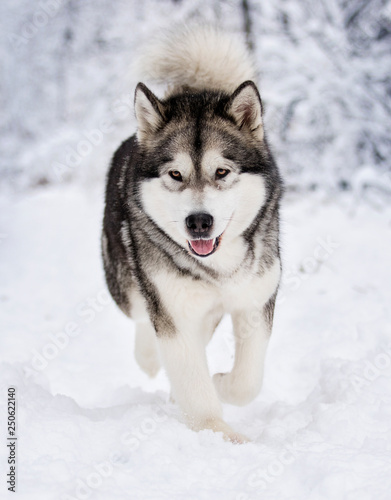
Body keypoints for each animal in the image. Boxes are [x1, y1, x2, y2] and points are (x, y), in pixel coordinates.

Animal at [102, 25, 284, 444]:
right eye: (175, 174)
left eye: (221, 172)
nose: (198, 221)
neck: (219, 267)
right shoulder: (174, 310)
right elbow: (194, 384)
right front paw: (219, 435)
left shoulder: (255, 299)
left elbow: (247, 381)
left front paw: (220, 383)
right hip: (126, 283)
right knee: (142, 318)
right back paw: (150, 358)